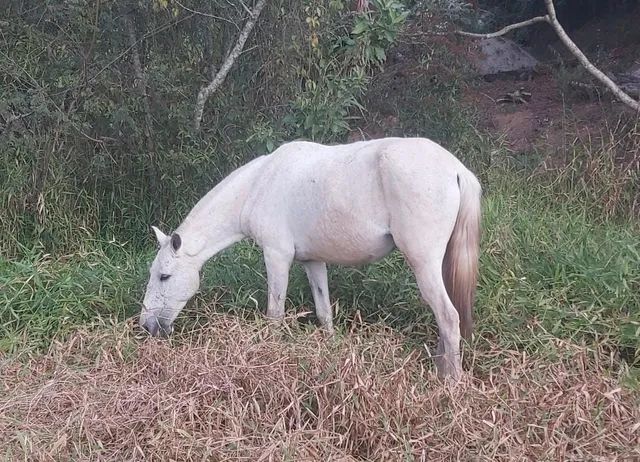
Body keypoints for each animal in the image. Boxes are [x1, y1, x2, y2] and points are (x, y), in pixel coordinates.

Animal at [140, 137, 480, 378]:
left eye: (164, 276)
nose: (147, 326)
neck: (258, 185)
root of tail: (455, 169)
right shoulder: (312, 261)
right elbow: (324, 312)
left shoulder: (276, 256)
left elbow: (274, 314)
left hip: (424, 264)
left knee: (448, 318)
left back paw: (450, 383)